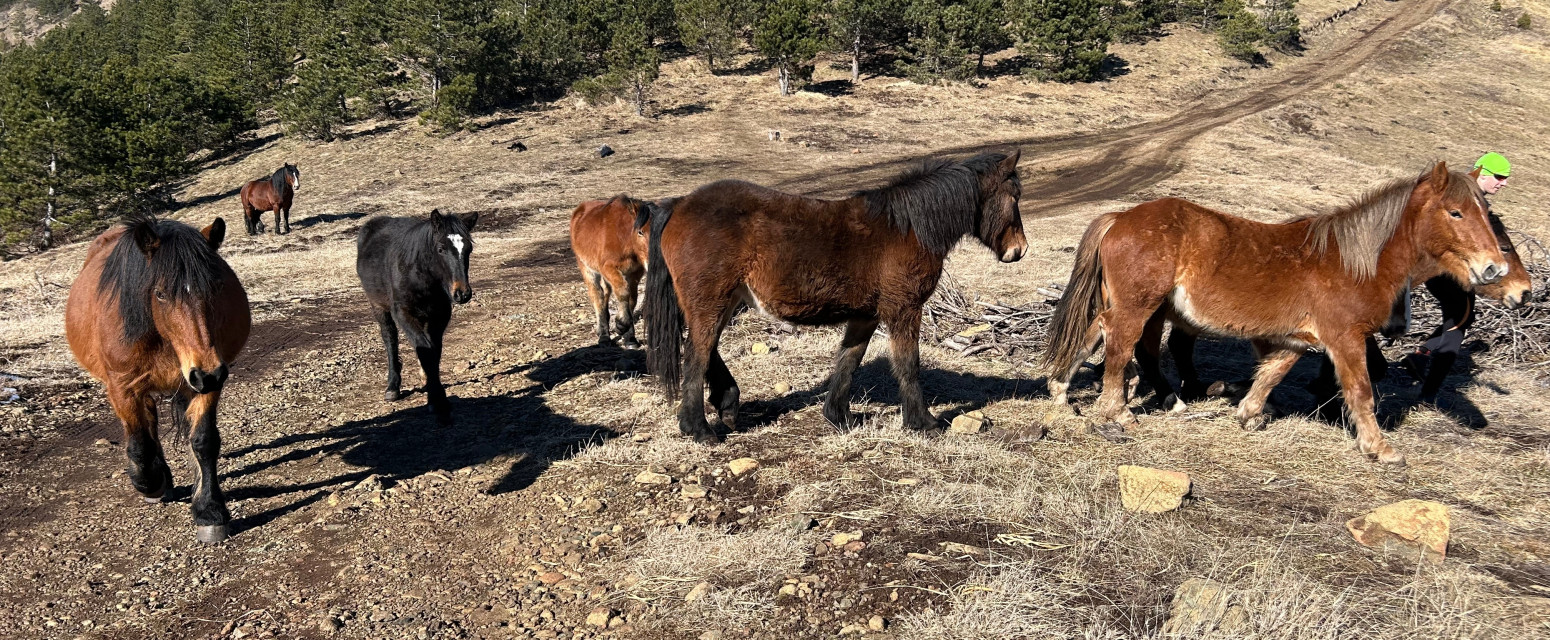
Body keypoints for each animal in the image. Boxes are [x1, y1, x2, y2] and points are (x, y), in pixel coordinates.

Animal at [65, 213, 251, 539]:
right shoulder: (123, 388)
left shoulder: (205, 383)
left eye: (216, 287)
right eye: (161, 293)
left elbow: (203, 441)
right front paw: (152, 483)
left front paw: (209, 511)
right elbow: (140, 443)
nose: (208, 373)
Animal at [356, 207, 477, 424]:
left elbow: (433, 352)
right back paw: (392, 387)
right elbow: (426, 351)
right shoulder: (403, 314)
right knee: (390, 339)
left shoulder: (439, 316)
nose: (462, 293)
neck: (421, 277)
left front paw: (433, 393)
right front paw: (438, 402)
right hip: (378, 306)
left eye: (468, 248)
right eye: (441, 249)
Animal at [573, 194, 657, 347]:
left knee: (606, 293)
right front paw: (621, 325)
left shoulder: (635, 273)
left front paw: (629, 338)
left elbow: (632, 299)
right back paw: (604, 336)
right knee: (598, 296)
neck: (624, 239)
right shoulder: (609, 268)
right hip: (587, 269)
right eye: (640, 232)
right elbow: (623, 293)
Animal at [641, 150, 1029, 440]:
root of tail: (678, 204)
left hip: (725, 302)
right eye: (1015, 197)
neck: (908, 227)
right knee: (696, 355)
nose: (1020, 249)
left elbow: (849, 360)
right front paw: (923, 423)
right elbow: (908, 363)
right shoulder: (904, 309)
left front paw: (838, 416)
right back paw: (699, 428)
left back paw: (728, 405)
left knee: (708, 350)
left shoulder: (865, 316)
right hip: (711, 303)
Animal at [1047, 161, 1506, 464]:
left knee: (1095, 333)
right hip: (1138, 306)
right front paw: (1380, 448)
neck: (1355, 261)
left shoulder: (1298, 340)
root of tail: (1122, 216)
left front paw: (1249, 413)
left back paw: (1063, 389)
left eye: (1486, 213)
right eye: (1455, 212)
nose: (1494, 268)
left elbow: (1271, 373)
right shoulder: (1346, 338)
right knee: (1120, 344)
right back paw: (1119, 412)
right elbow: (1361, 392)